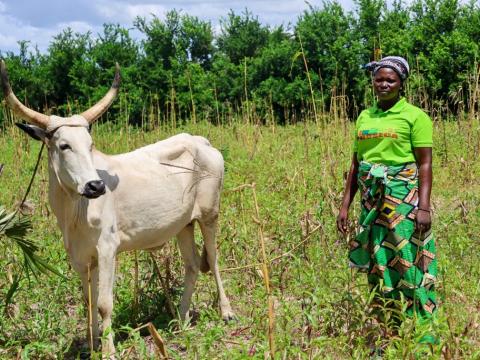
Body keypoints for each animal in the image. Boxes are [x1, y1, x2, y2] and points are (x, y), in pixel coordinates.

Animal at [1, 60, 234, 356]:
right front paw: (92, 345)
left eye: (90, 145)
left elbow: (104, 304)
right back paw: (180, 319)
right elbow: (88, 302)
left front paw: (109, 350)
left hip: (209, 214)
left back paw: (226, 312)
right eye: (64, 146)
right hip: (184, 224)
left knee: (213, 259)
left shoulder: (107, 249)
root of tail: (202, 142)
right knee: (192, 265)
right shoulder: (80, 258)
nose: (96, 186)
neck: (74, 211)